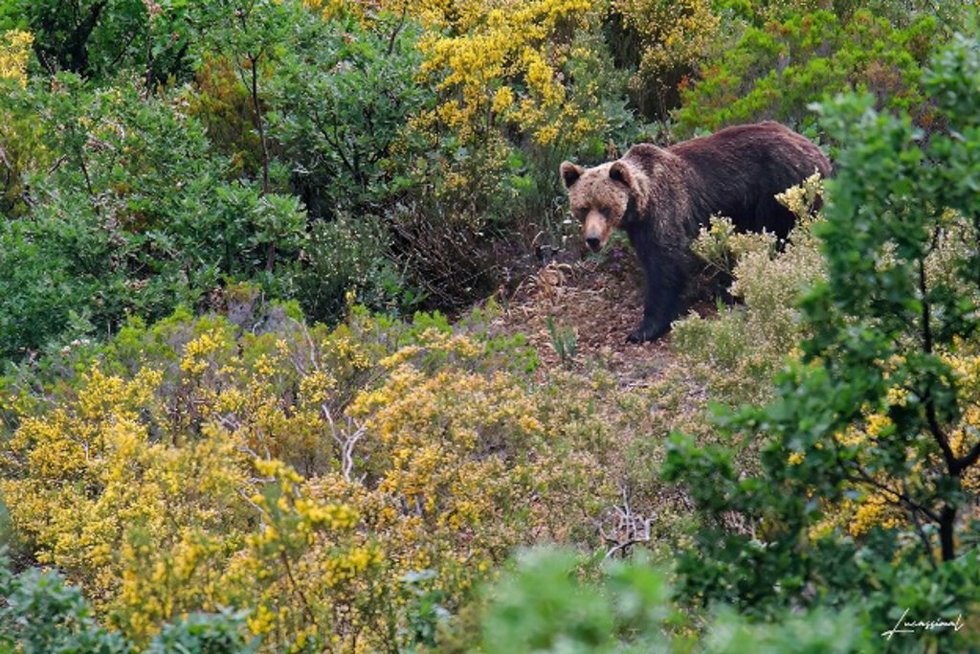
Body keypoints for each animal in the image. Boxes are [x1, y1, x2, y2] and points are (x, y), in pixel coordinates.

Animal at [560, 121, 831, 343]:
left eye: (605, 207)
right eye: (583, 208)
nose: (593, 239)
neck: (641, 205)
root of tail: (820, 155)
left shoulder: (665, 213)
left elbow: (666, 266)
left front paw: (644, 329)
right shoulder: (639, 229)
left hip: (779, 191)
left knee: (780, 236)